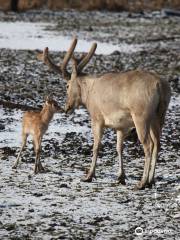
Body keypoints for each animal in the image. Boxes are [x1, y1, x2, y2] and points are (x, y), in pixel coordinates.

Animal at [37, 37, 170, 189]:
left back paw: (142, 182)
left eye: (67, 85)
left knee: (148, 144)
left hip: (141, 115)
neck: (88, 94)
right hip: (159, 116)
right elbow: (119, 147)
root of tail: (160, 85)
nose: (67, 108)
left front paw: (89, 175)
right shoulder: (121, 125)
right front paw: (120, 177)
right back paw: (151, 180)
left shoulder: (97, 118)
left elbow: (96, 146)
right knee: (157, 143)